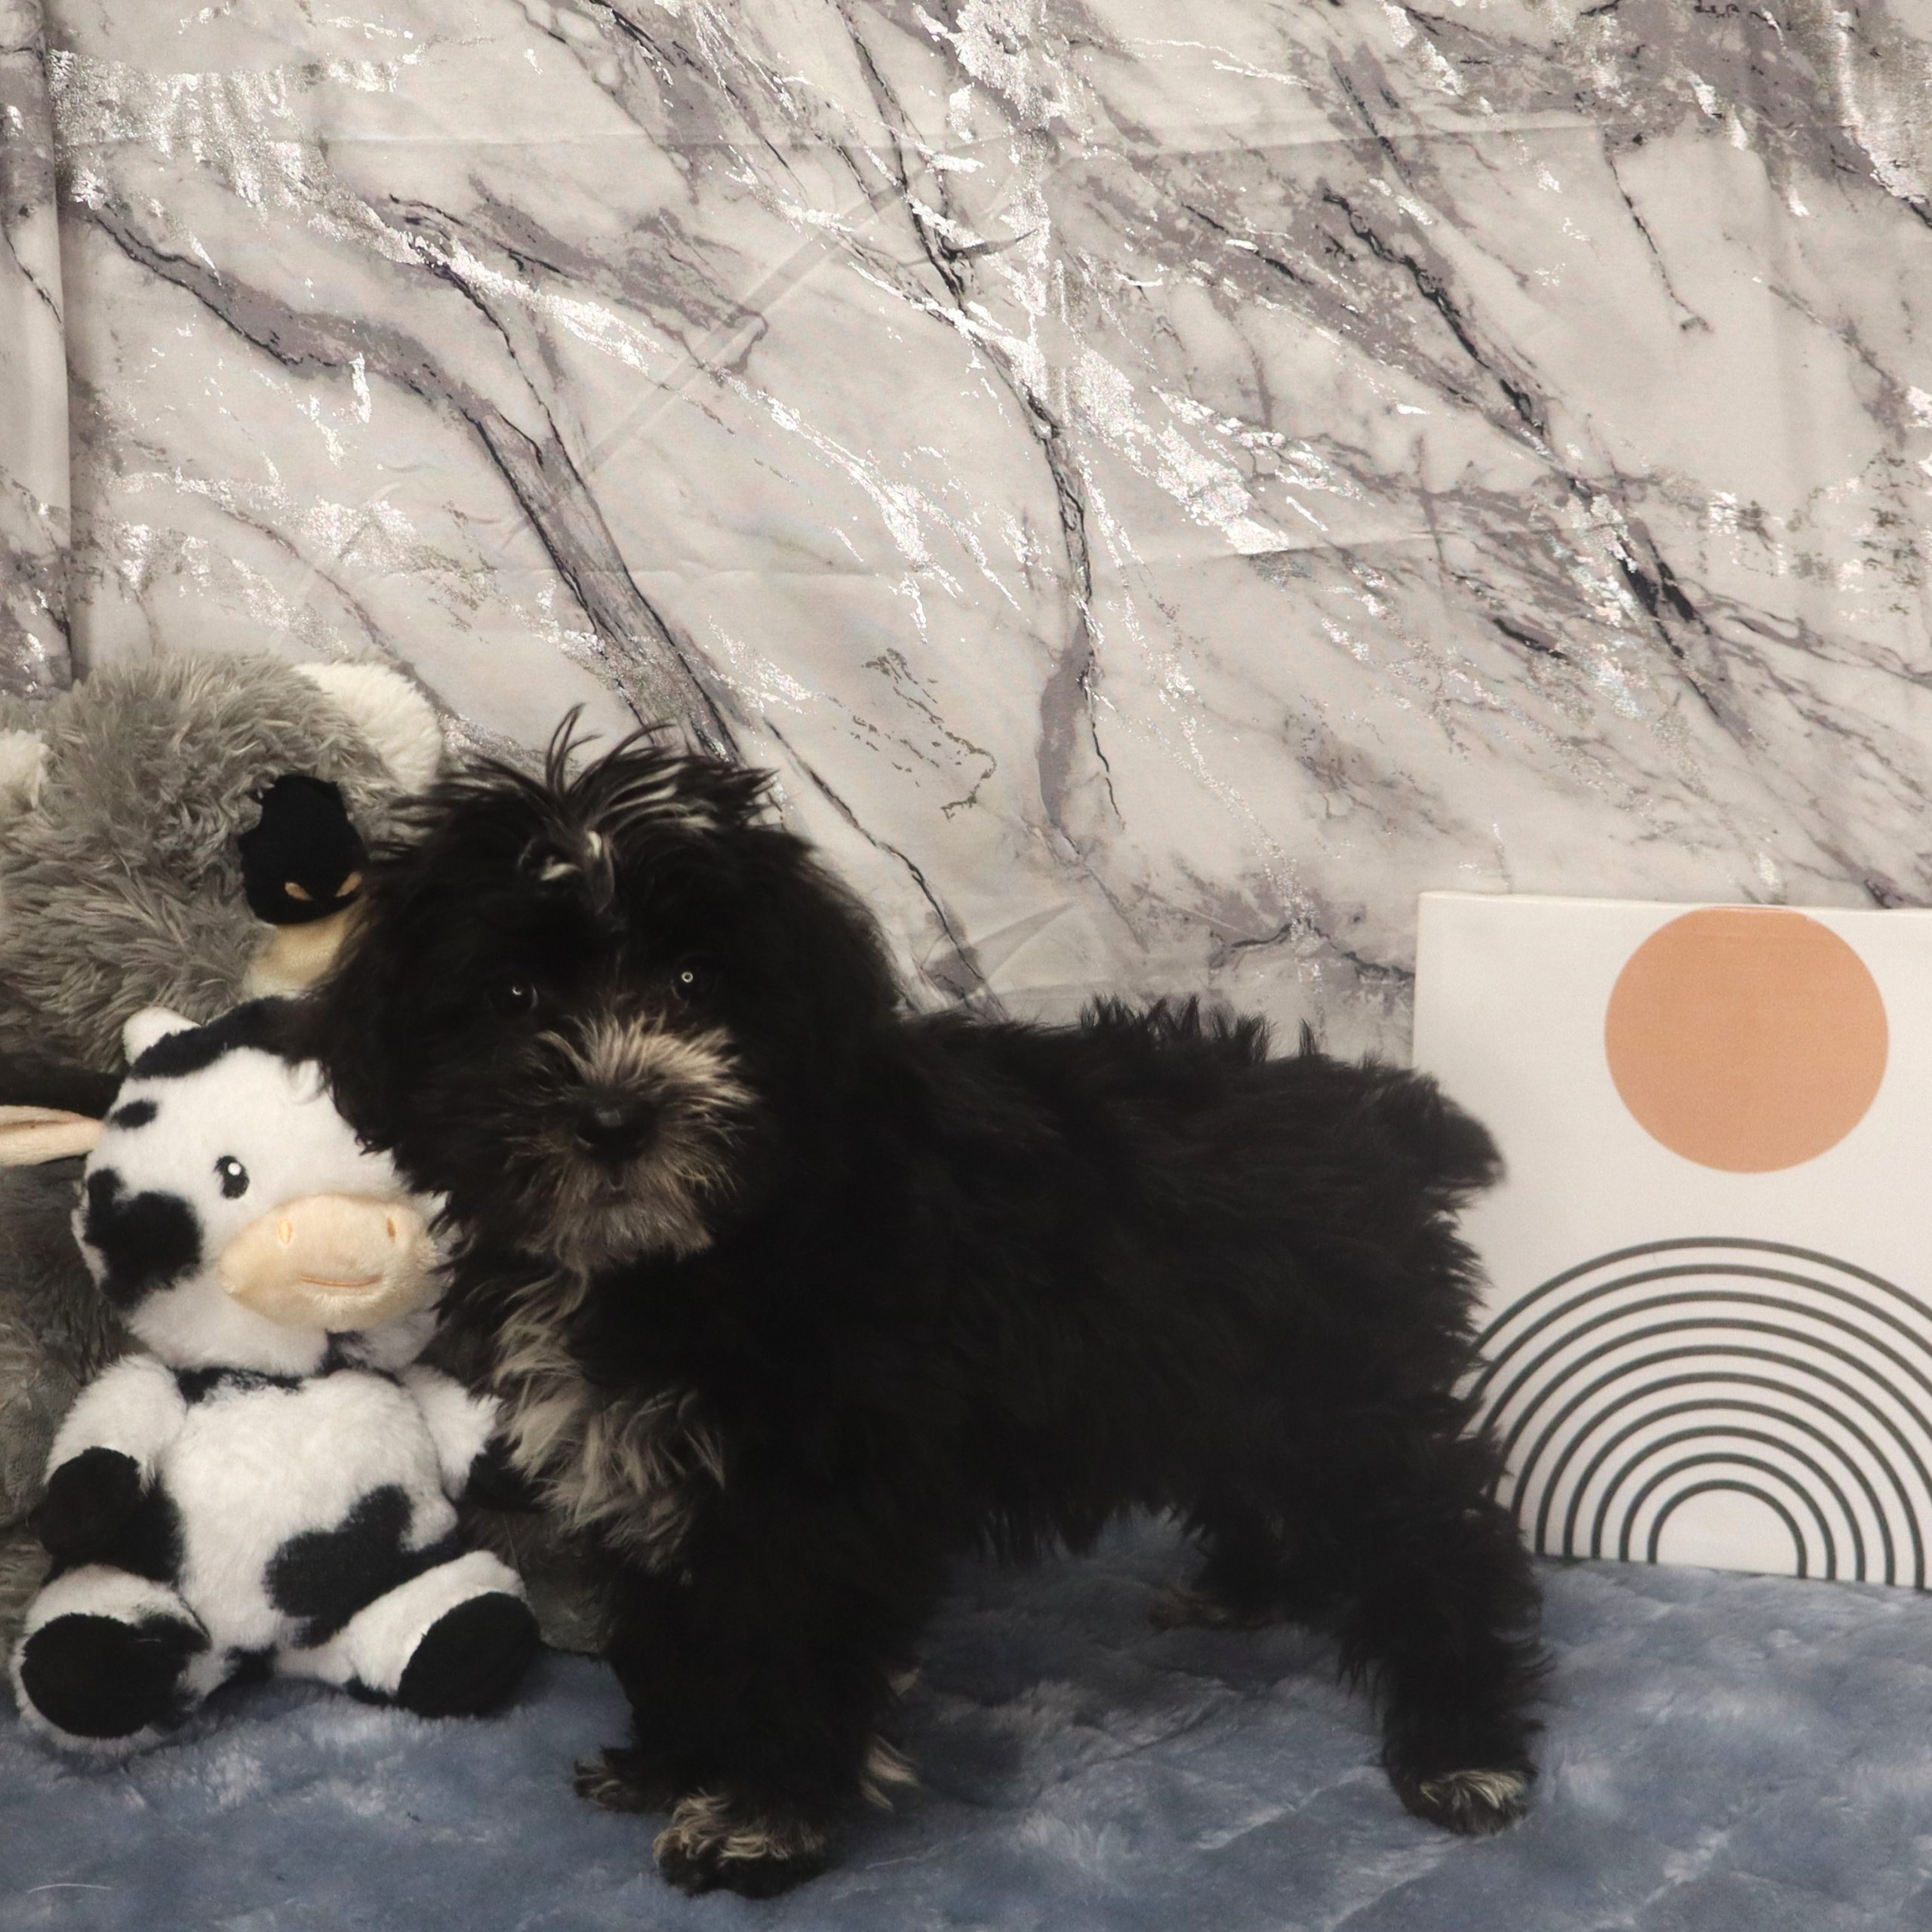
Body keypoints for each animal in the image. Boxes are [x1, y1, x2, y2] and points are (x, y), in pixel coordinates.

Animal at [300, 726, 1545, 1897]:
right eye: (511, 997)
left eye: (698, 981)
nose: (614, 1120)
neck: (687, 1252)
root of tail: (1376, 1111)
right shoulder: (639, 1457)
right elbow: (671, 1621)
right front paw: (671, 1762)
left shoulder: (813, 1490)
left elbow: (787, 1645)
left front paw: (758, 1820)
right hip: (1228, 1372)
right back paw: (1246, 1590)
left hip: (1341, 1390)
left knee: (1434, 1537)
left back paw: (1463, 1747)